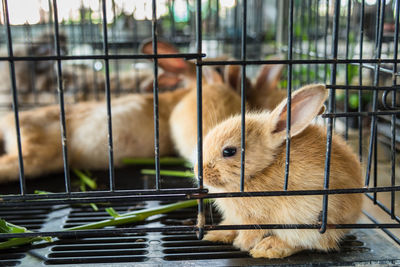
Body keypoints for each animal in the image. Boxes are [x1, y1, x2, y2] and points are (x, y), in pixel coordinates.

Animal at [195, 84, 364, 260]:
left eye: (229, 151)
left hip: (309, 222)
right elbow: (231, 224)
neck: (260, 170)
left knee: (308, 243)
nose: (199, 172)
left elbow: (252, 232)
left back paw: (267, 248)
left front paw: (241, 244)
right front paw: (217, 234)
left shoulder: (258, 218)